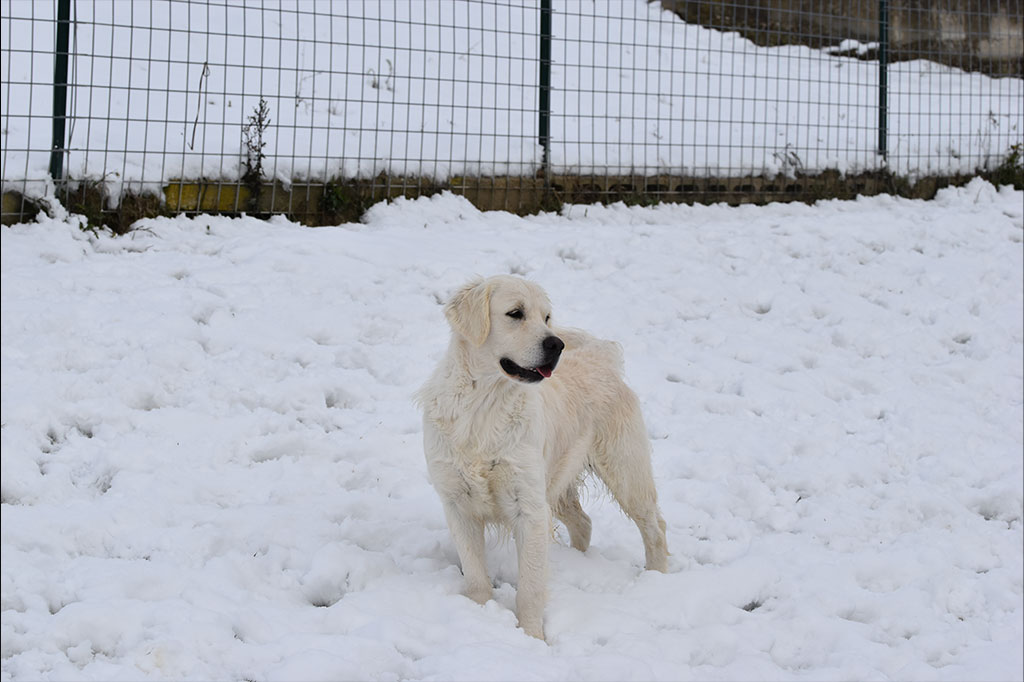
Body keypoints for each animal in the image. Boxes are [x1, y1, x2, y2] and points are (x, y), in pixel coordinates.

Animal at [417, 274, 671, 638]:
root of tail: (600, 357)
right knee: (584, 522)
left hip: (626, 472)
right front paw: (480, 615)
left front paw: (532, 637)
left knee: (655, 528)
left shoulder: (530, 509)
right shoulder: (457, 503)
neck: (485, 407)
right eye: (515, 313)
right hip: (557, 484)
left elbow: (531, 587)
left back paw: (657, 580)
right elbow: (477, 576)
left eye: (546, 317)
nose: (557, 345)